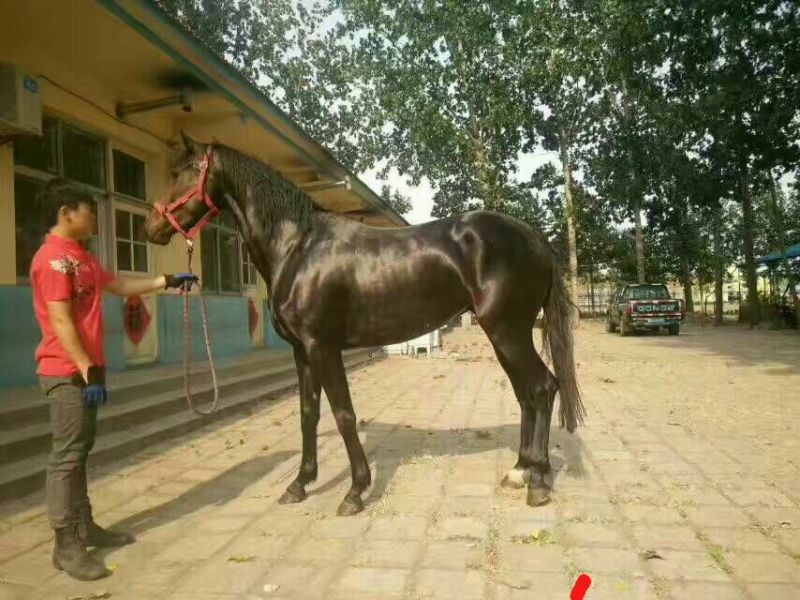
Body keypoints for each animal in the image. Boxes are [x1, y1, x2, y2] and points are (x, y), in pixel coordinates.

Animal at [145, 133, 584, 517]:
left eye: (184, 171)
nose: (152, 227)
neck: (298, 248)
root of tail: (535, 237)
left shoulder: (323, 347)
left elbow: (343, 414)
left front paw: (355, 491)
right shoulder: (301, 351)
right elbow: (308, 414)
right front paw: (299, 484)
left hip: (508, 332)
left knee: (542, 388)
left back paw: (538, 483)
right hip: (505, 335)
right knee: (527, 394)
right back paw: (520, 471)